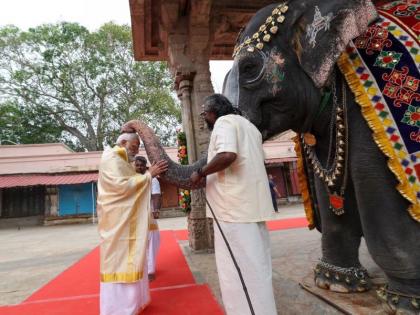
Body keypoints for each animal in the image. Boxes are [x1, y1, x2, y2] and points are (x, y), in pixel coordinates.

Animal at [133, 0, 418, 314]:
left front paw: (403, 302)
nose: (127, 128)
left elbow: (379, 192)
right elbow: (328, 191)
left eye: (249, 68)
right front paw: (334, 283)